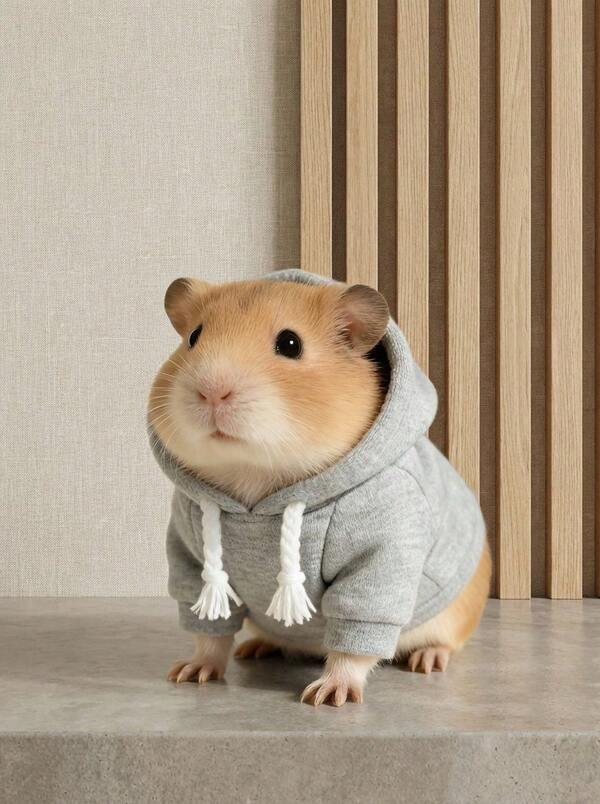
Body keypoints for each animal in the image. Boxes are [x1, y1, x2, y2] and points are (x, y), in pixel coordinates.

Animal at [148, 271, 490, 706]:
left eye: (290, 344)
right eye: (194, 336)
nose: (211, 391)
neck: (255, 487)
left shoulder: (378, 559)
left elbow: (354, 638)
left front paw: (326, 696)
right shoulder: (190, 553)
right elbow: (210, 631)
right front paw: (188, 674)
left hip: (454, 614)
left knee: (443, 642)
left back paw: (427, 661)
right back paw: (255, 648)